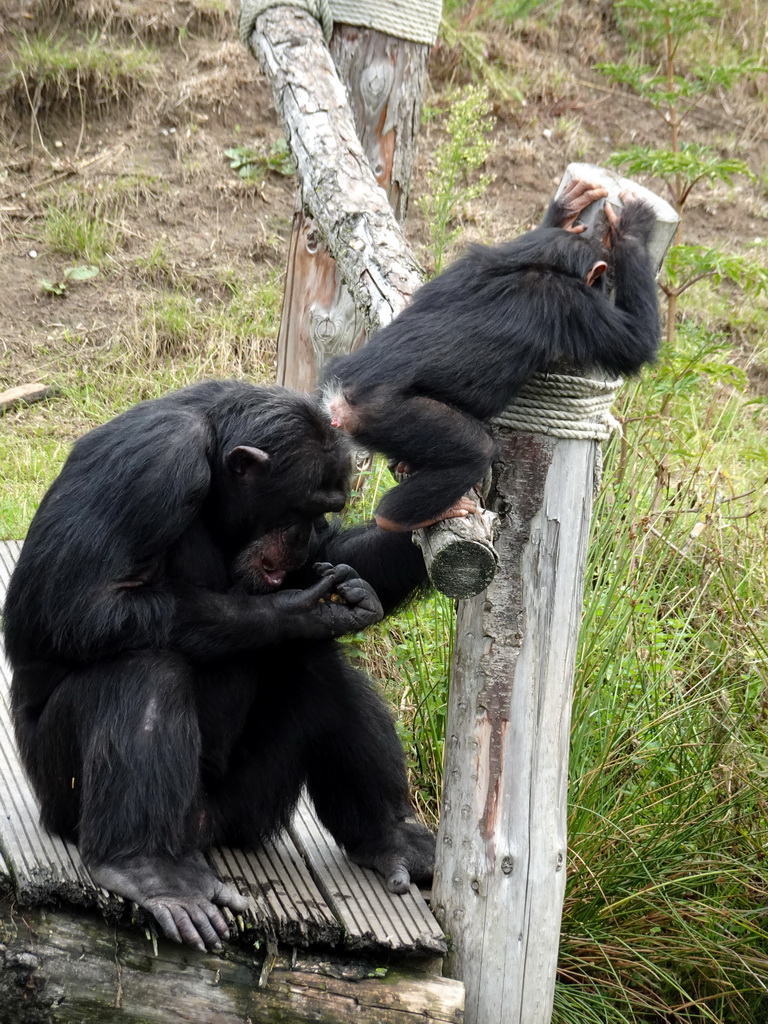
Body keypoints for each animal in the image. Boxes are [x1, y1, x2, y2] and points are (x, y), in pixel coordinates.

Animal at [1, 382, 438, 950]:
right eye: (301, 506)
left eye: (327, 511)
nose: (308, 531)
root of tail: (204, 830)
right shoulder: (158, 462)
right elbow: (71, 604)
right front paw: (290, 612)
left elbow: (335, 561)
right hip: (63, 795)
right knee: (142, 670)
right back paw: (148, 868)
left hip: (247, 808)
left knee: (320, 667)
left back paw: (389, 837)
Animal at [325, 178, 663, 528]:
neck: (540, 264)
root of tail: (338, 402)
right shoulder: (578, 304)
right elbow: (638, 340)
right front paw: (634, 228)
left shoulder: (478, 259)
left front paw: (564, 211)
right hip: (389, 415)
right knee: (477, 450)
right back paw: (403, 517)